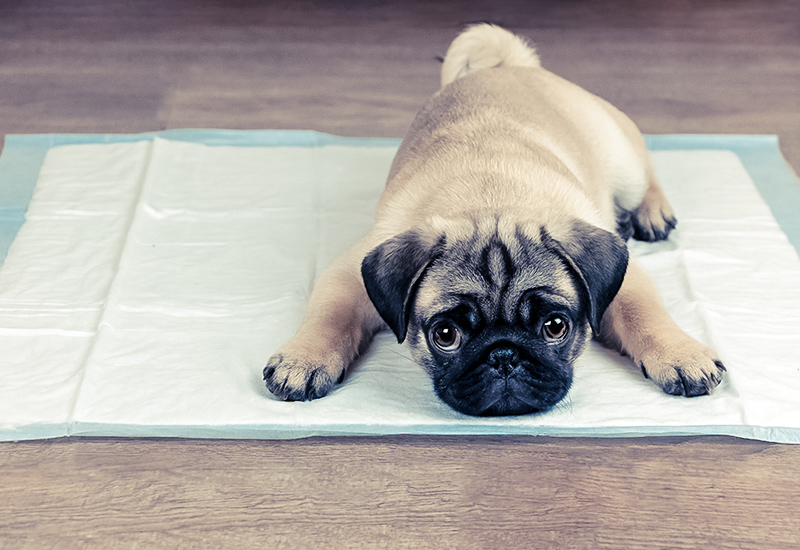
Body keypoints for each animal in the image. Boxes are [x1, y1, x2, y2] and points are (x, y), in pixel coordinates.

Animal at [262, 23, 724, 416]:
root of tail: (508, 68)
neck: (490, 199)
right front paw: (304, 358)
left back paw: (653, 212)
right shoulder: (350, 273)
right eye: (445, 336)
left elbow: (644, 313)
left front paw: (682, 355)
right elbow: (330, 312)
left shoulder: (625, 279)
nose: (504, 355)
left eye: (555, 327)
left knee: (646, 172)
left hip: (621, 159)